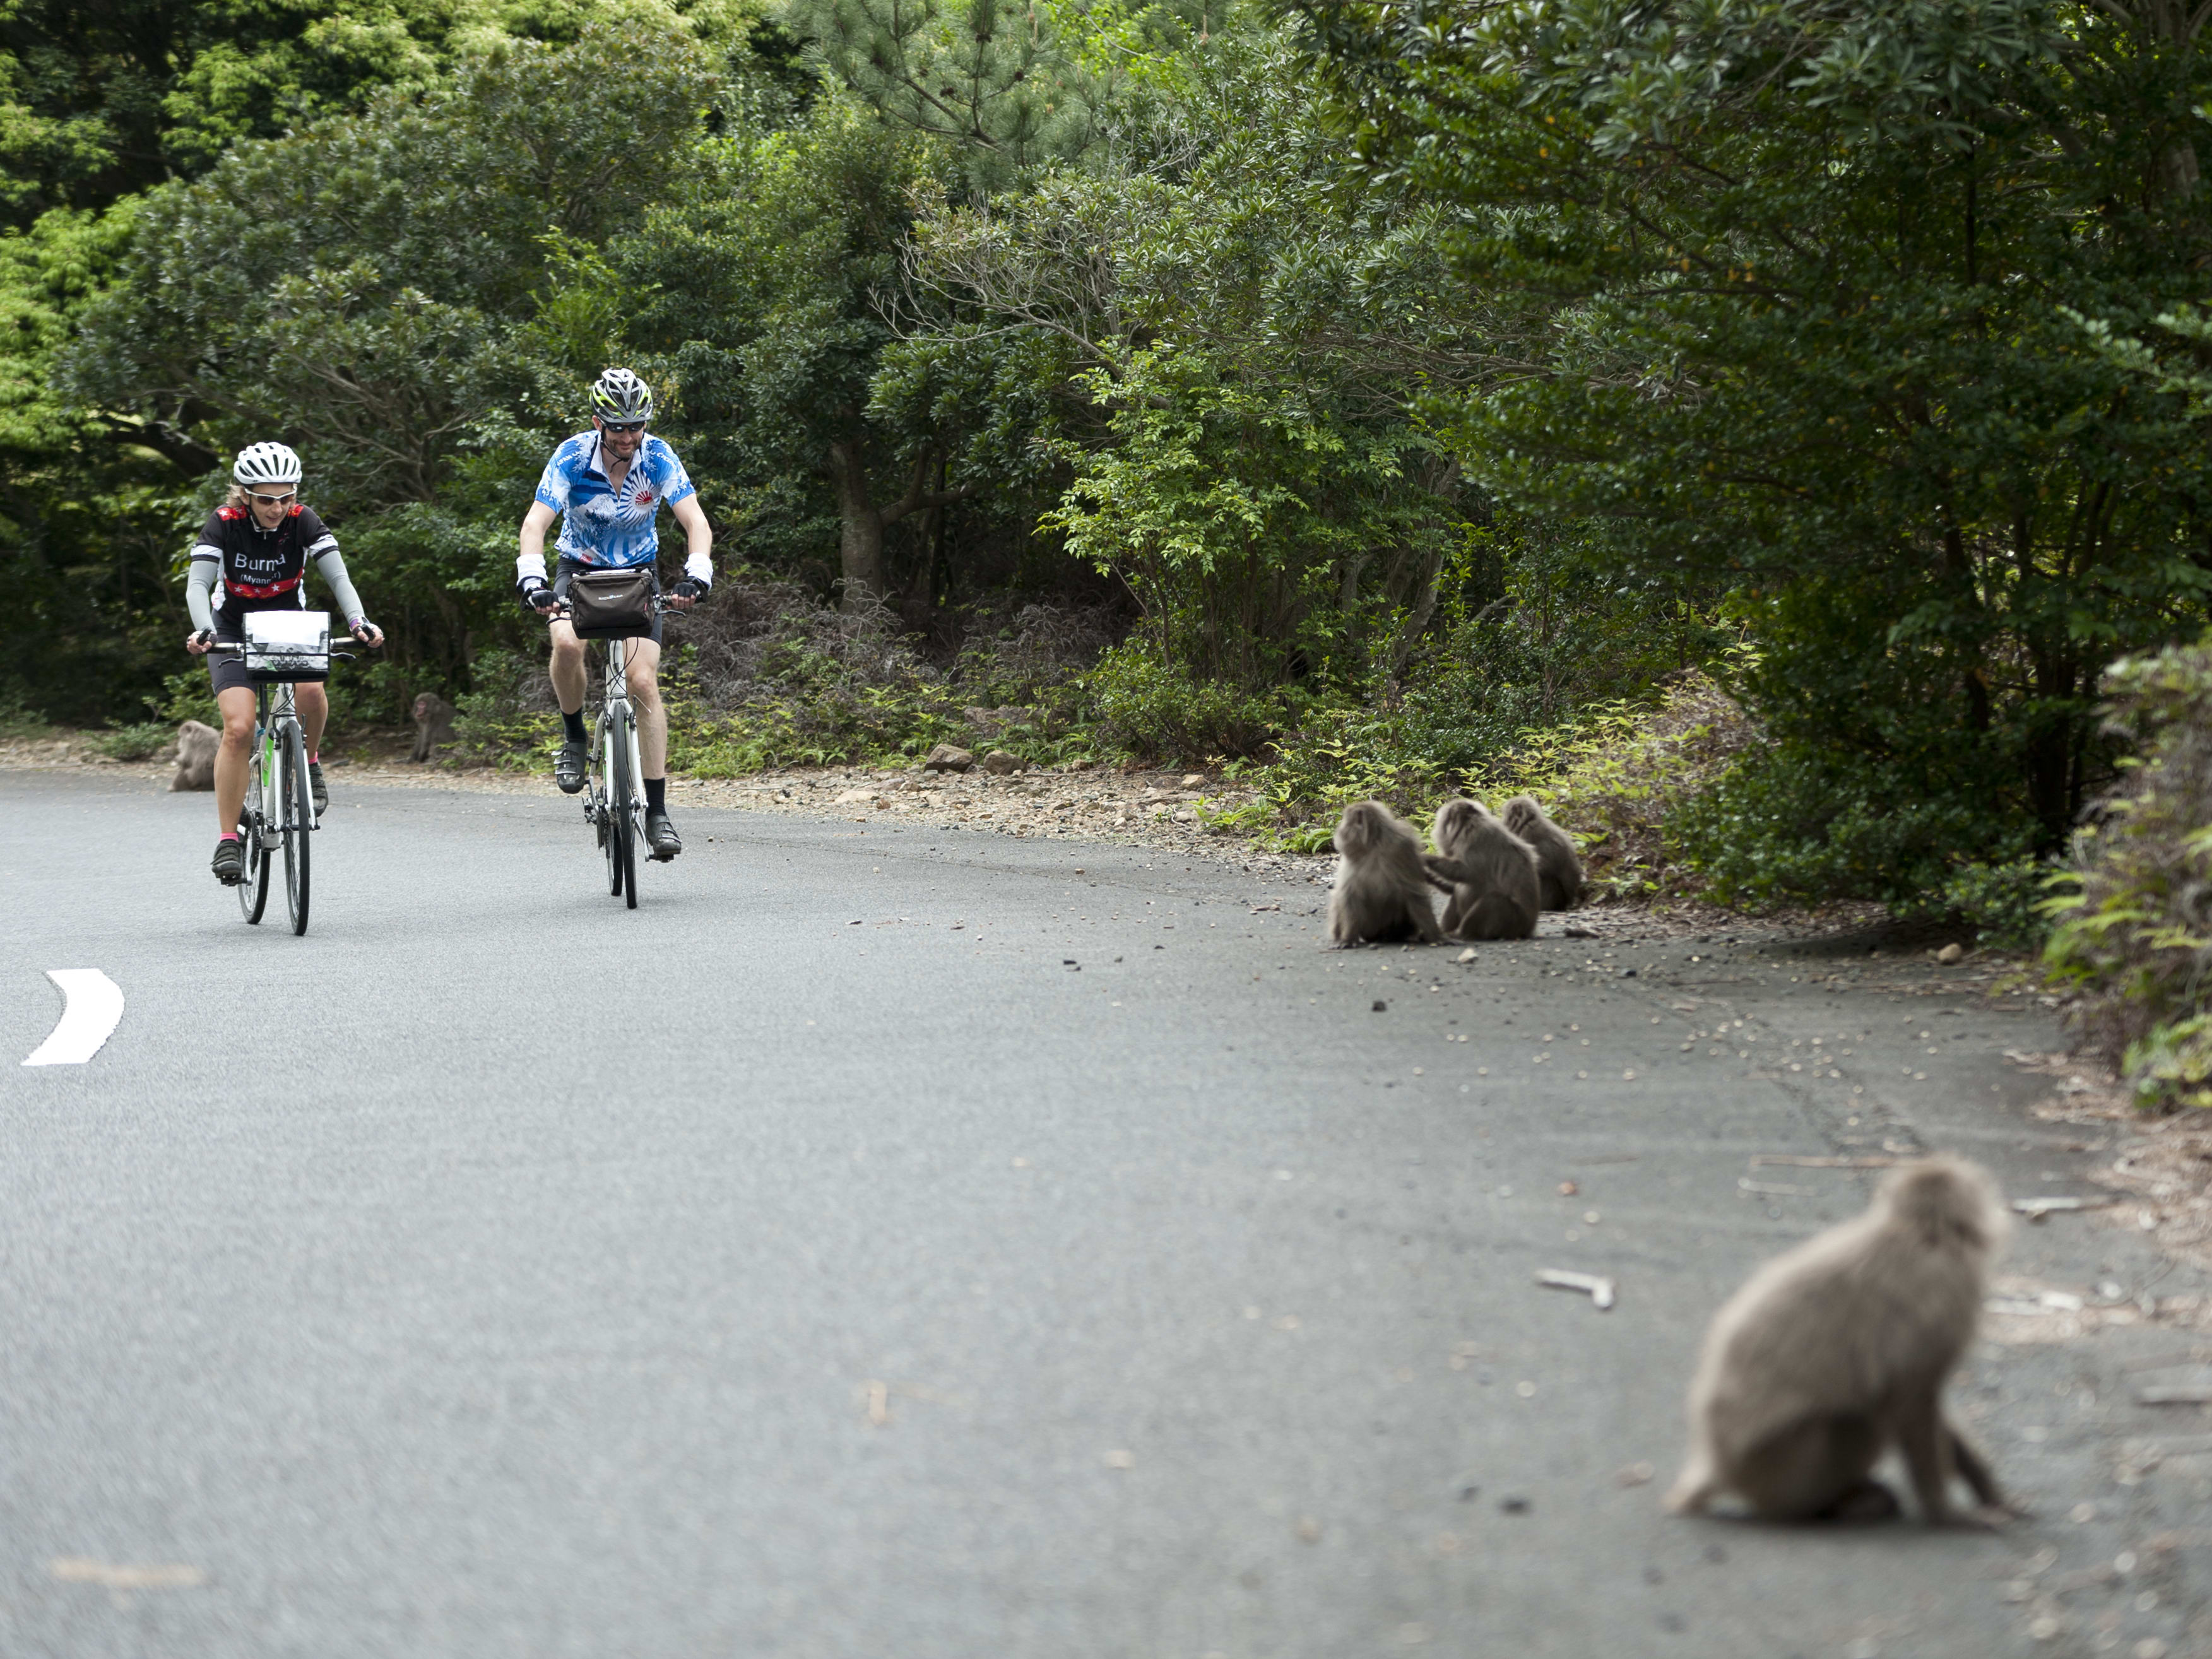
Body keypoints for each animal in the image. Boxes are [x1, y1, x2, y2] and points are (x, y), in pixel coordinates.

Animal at [1327, 800, 1451, 947]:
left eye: (1345, 822)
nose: (1338, 832)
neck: (1373, 845)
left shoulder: (1401, 848)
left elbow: (1414, 892)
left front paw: (1436, 936)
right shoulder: (1350, 858)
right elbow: (1350, 895)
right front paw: (1348, 938)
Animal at [1416, 800, 1539, 942]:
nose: (1435, 830)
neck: (1468, 827)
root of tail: (1529, 929)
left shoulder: (1474, 841)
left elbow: (1467, 873)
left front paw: (1425, 858)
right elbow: (1456, 885)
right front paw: (1429, 877)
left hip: (1515, 923)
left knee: (1494, 900)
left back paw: (1460, 934)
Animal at [1663, 1159, 2017, 1530]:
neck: (1920, 1234)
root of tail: (1715, 1463)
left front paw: (1984, 1484)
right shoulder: (1945, 1296)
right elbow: (1909, 1399)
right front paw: (1947, 1513)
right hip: (1781, 1470)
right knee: (1864, 1414)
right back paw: (1833, 1506)